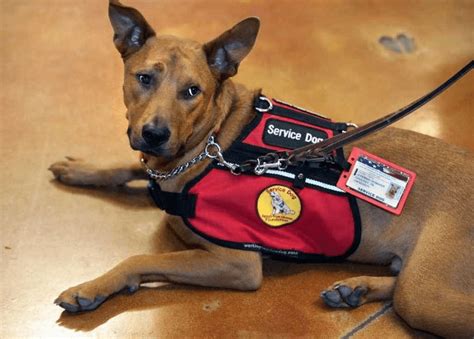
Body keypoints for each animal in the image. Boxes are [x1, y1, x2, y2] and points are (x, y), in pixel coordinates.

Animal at [49, 1, 474, 338]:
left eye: (192, 91)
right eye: (144, 78)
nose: (154, 134)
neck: (214, 143)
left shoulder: (236, 263)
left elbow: (143, 259)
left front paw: (93, 287)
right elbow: (126, 166)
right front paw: (84, 169)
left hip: (424, 293)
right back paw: (356, 290)